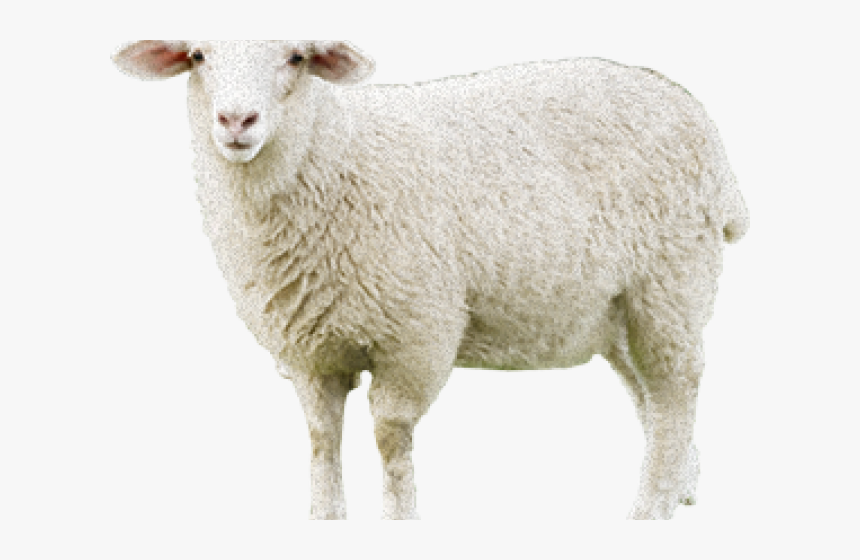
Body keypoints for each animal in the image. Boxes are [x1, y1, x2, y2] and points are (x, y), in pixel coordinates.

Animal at [113, 40, 749, 520]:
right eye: (197, 54)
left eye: (296, 56)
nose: (236, 121)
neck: (329, 155)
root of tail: (698, 119)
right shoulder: (308, 350)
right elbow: (321, 437)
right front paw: (325, 518)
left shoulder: (415, 335)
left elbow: (390, 438)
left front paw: (401, 518)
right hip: (619, 308)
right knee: (651, 397)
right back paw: (683, 486)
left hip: (671, 281)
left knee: (675, 389)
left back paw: (651, 508)